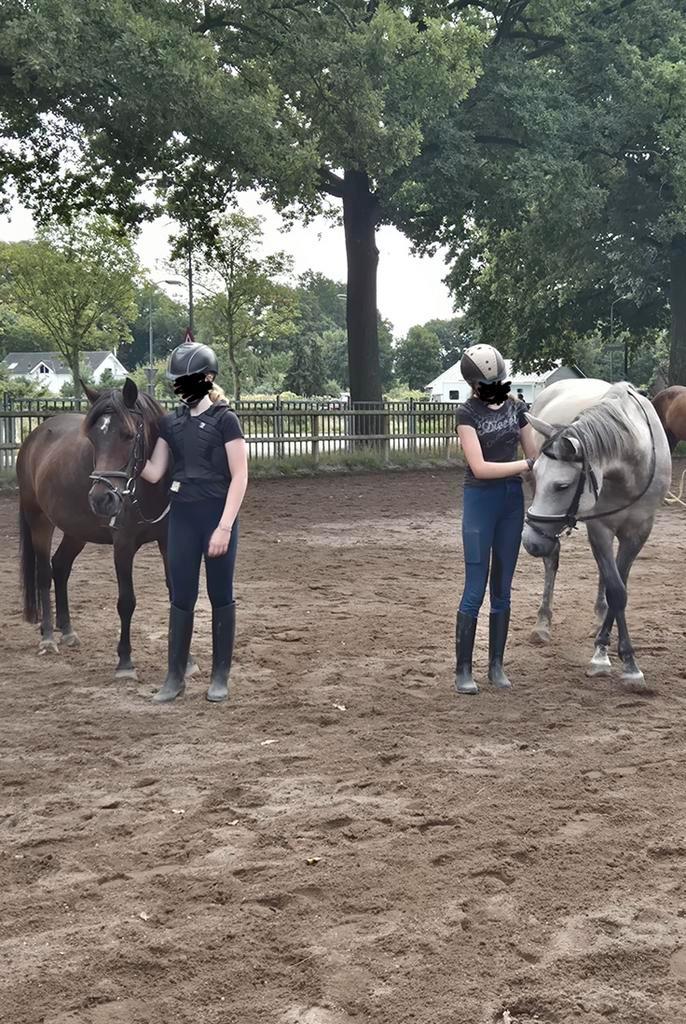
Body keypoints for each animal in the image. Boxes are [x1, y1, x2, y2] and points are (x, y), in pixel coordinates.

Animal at [17, 377, 195, 680]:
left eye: (128, 435)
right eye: (92, 439)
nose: (101, 499)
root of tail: (33, 437)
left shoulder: (169, 542)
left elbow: (176, 594)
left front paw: (187, 659)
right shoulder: (123, 546)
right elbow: (126, 601)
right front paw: (125, 662)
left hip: (76, 530)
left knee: (60, 566)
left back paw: (67, 632)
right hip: (39, 521)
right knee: (44, 573)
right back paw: (49, 637)